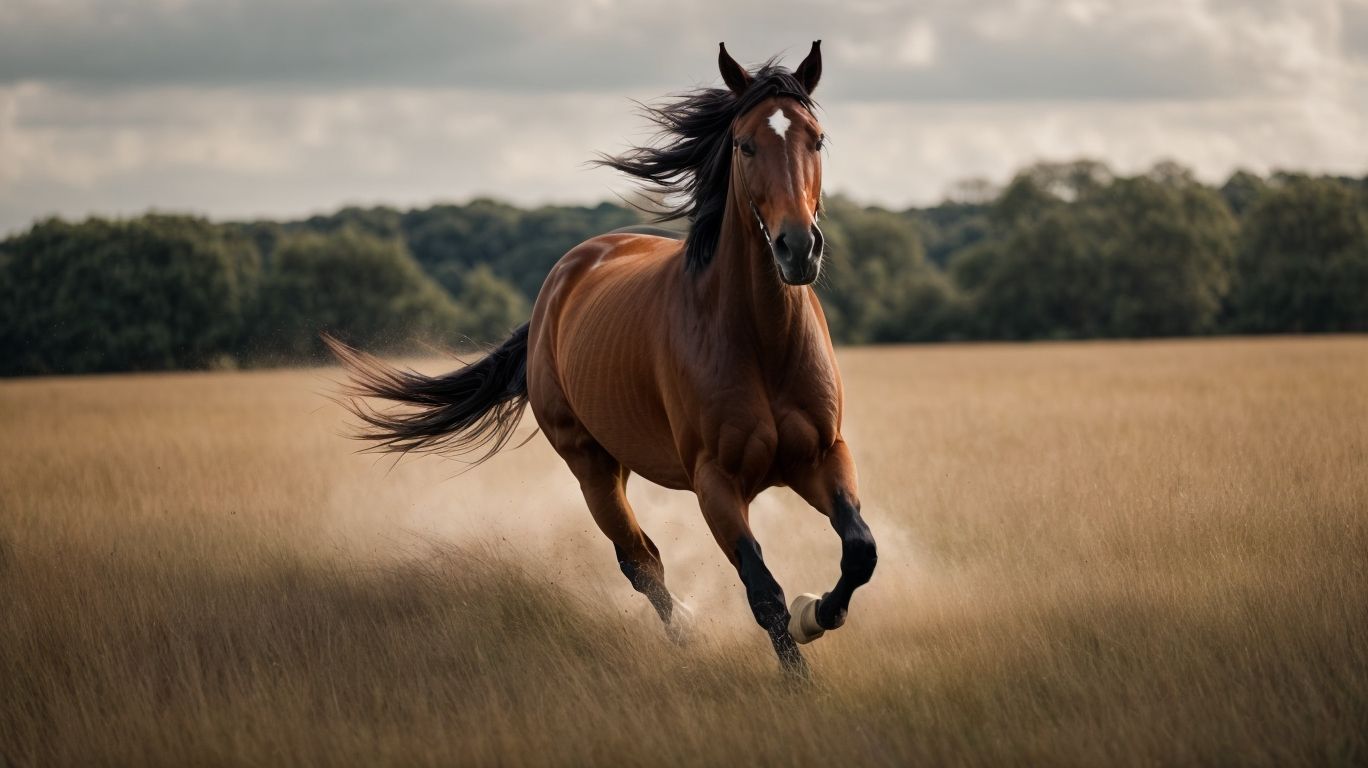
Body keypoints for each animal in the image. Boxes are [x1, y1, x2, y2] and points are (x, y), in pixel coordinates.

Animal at [326, 41, 877, 675]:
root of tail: (558, 285)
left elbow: (860, 551)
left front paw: (818, 613)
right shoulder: (715, 483)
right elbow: (763, 591)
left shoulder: (823, 455)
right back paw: (686, 631)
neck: (761, 342)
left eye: (817, 139)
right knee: (639, 560)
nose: (797, 248)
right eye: (745, 144)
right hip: (591, 465)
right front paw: (798, 677)